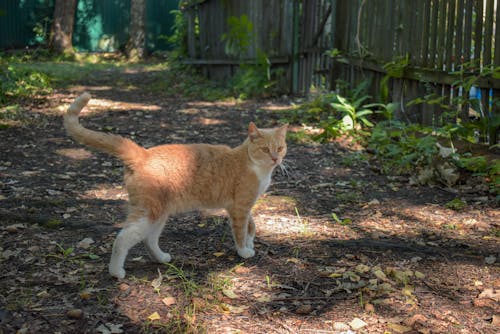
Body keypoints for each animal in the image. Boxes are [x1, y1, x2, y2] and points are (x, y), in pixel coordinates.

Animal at [63, 92, 290, 278]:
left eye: (280, 148)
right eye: (265, 149)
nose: (275, 159)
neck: (254, 165)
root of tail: (143, 153)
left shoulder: (245, 205)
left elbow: (252, 226)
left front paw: (251, 244)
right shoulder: (239, 207)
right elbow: (241, 231)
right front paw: (244, 251)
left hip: (160, 213)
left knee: (149, 240)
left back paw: (161, 258)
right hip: (149, 212)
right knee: (123, 237)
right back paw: (116, 271)